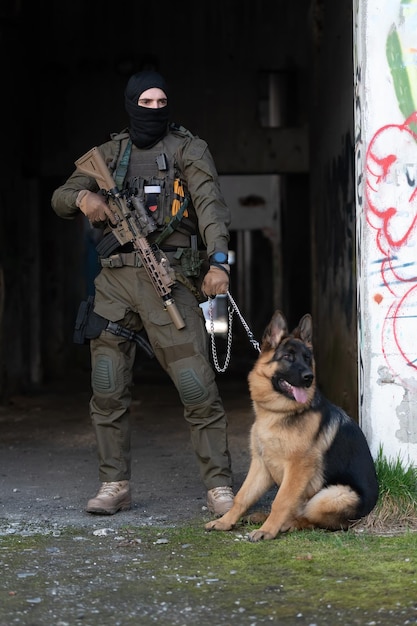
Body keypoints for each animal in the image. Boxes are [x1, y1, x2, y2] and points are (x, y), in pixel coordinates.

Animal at [204, 310, 376, 540]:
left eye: (307, 359)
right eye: (288, 357)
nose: (309, 378)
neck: (278, 413)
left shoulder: (298, 467)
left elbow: (281, 501)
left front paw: (268, 530)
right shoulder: (260, 465)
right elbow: (242, 496)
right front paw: (225, 522)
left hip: (331, 495)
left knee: (313, 520)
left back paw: (287, 524)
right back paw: (261, 517)